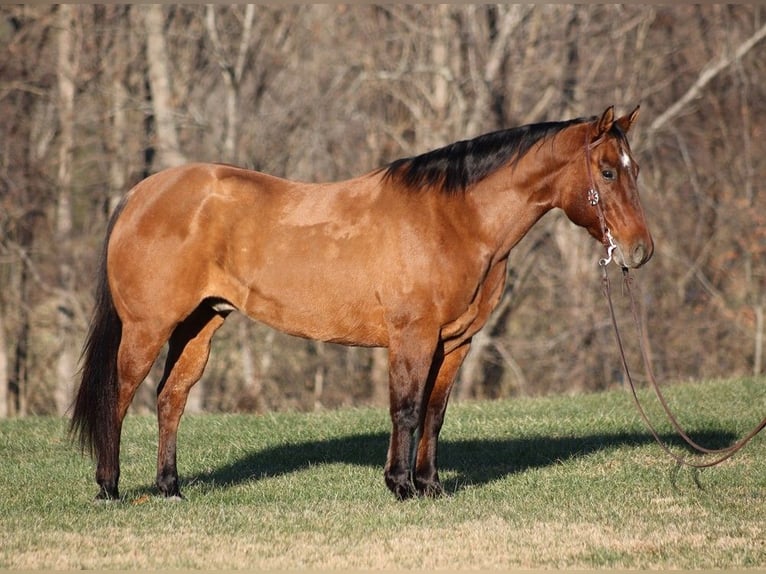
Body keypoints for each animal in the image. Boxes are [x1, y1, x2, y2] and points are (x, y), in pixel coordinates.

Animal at [70, 106, 656, 502]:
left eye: (636, 169)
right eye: (607, 171)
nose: (640, 251)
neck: (455, 219)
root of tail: (140, 194)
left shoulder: (455, 343)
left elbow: (435, 413)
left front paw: (430, 486)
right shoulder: (412, 336)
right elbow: (406, 409)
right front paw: (399, 485)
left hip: (199, 325)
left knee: (171, 399)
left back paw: (170, 487)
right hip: (147, 328)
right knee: (119, 396)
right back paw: (109, 488)